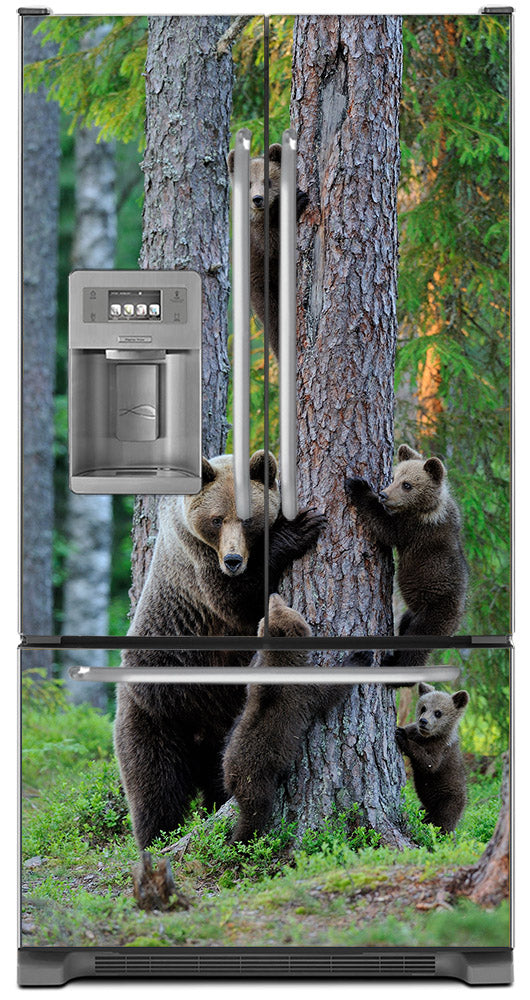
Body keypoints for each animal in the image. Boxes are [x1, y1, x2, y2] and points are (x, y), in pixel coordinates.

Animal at [114, 450, 326, 849]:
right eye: (216, 519)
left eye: (247, 518)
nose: (232, 560)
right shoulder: (197, 560)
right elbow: (236, 601)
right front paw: (300, 529)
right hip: (156, 709)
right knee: (154, 784)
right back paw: (157, 838)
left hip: (222, 729)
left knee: (216, 780)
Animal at [223, 593, 346, 843]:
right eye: (289, 609)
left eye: (275, 607)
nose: (273, 594)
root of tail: (231, 778)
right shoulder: (304, 691)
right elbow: (330, 692)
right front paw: (361, 657)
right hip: (256, 781)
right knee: (255, 813)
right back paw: (242, 840)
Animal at [227, 142, 309, 359]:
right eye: (248, 183)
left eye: (268, 181)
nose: (257, 199)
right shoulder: (256, 239)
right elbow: (273, 242)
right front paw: (297, 201)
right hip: (262, 288)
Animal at [344, 444, 468, 668]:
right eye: (394, 477)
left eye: (407, 484)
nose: (383, 494)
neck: (428, 508)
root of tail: (457, 622)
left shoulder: (414, 529)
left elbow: (386, 528)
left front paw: (358, 486)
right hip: (412, 613)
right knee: (404, 625)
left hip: (434, 614)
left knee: (416, 647)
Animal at [396, 682, 469, 833]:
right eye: (423, 707)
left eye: (438, 712)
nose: (423, 721)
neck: (428, 737)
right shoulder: (415, 731)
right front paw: (400, 729)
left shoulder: (441, 750)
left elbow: (428, 763)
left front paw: (402, 737)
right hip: (426, 808)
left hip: (449, 801)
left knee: (444, 823)